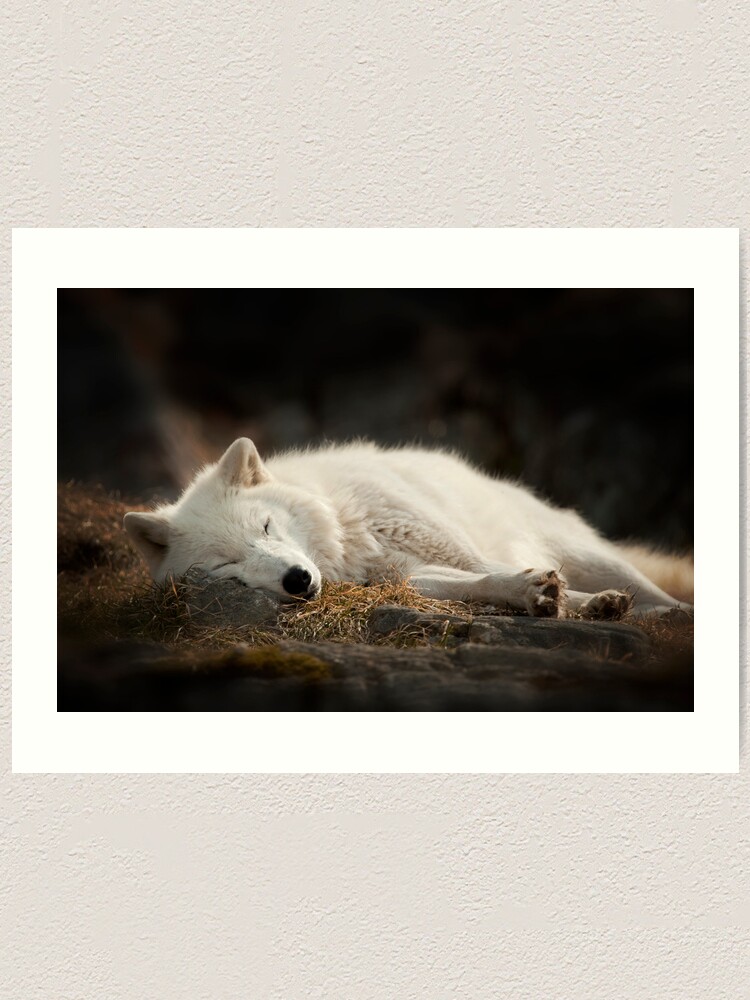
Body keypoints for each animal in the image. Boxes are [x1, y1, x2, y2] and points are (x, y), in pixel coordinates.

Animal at [123, 438, 693, 619]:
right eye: (227, 564)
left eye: (266, 527)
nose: (297, 581)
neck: (350, 536)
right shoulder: (401, 577)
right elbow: (486, 582)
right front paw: (535, 596)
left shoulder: (440, 544)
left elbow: (486, 568)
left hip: (589, 553)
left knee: (653, 592)